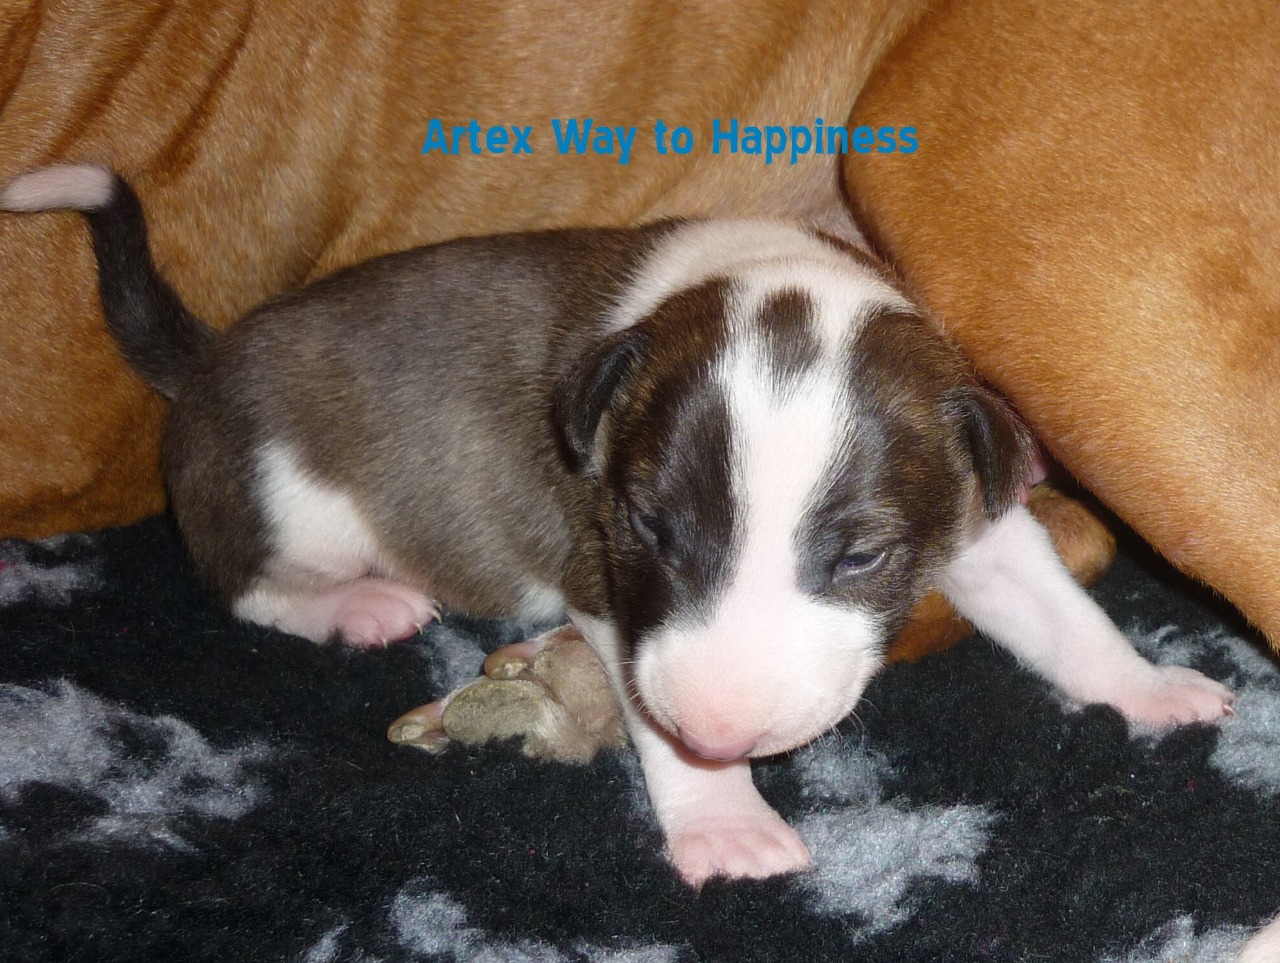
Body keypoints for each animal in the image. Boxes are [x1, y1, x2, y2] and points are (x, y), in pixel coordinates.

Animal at [1, 162, 1235, 885]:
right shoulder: (600, 575)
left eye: (862, 555)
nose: (726, 734)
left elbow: (1059, 612)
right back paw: (360, 605)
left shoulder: (976, 507)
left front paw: (1148, 687)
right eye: (652, 528)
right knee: (248, 587)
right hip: (281, 500)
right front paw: (723, 821)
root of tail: (205, 361)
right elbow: (646, 706)